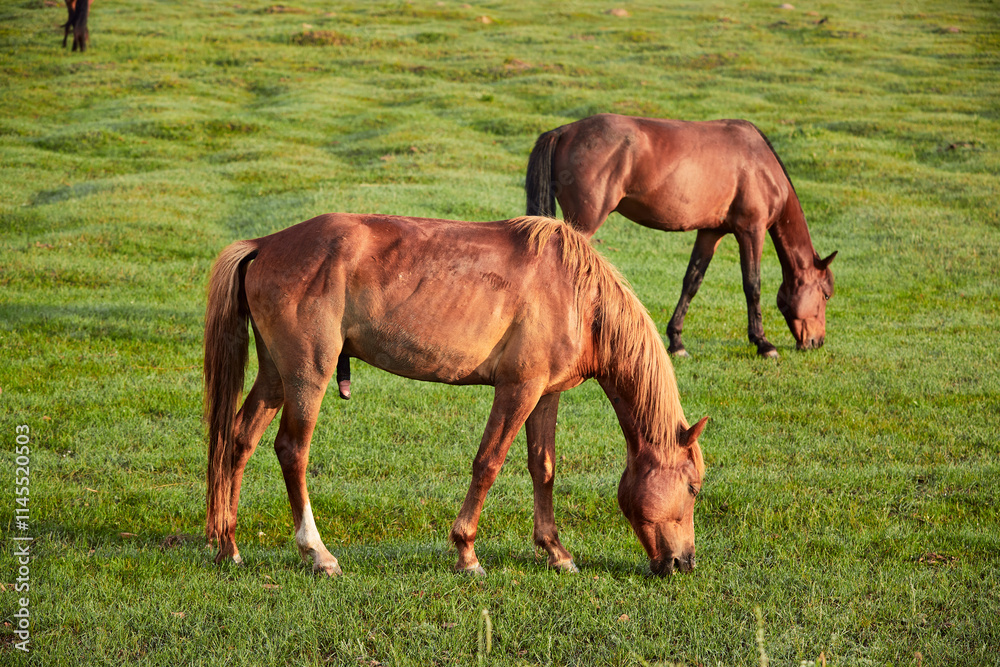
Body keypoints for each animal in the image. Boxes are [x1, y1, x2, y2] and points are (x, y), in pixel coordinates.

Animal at [204, 213, 708, 577]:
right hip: (308, 374)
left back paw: (229, 545)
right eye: (693, 488)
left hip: (275, 376)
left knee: (239, 439)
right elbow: (488, 464)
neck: (577, 296)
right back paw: (318, 553)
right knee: (292, 451)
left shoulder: (544, 395)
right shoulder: (518, 389)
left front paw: (555, 550)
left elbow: (542, 468)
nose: (683, 563)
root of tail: (265, 245)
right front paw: (467, 552)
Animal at [526, 113, 837, 358]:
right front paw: (763, 343)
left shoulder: (711, 232)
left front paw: (676, 341)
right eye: (826, 294)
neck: (760, 164)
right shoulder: (752, 230)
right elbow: (752, 285)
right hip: (582, 224)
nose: (817, 341)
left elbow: (692, 281)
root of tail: (564, 131)